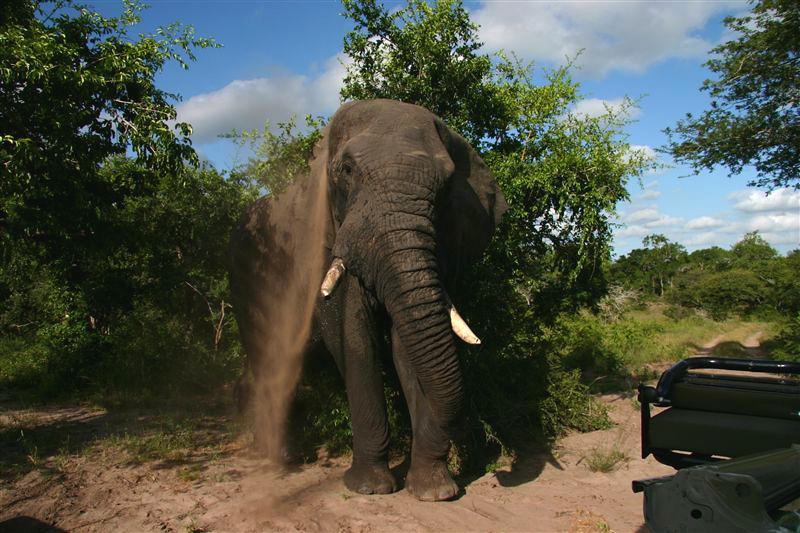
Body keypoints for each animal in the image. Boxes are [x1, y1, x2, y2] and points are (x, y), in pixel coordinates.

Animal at [229, 99, 507, 501]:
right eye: (347, 171)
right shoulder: (326, 239)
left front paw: (434, 492)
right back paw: (279, 455)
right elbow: (353, 335)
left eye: (445, 185)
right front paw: (369, 488)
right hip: (246, 278)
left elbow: (409, 344)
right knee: (269, 353)